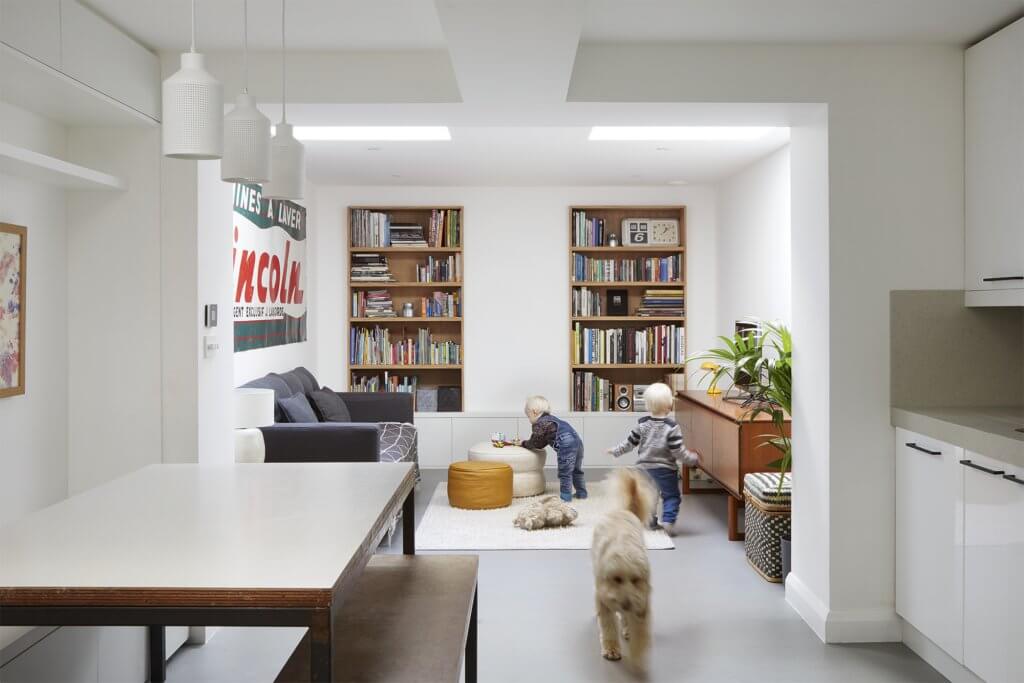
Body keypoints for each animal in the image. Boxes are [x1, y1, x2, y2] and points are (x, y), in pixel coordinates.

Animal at [593, 466, 655, 671]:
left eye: (635, 580)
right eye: (616, 579)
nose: (626, 604)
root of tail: (624, 510)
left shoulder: (642, 600)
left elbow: (640, 630)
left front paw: (637, 653)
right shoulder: (603, 597)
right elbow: (608, 626)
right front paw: (611, 649)